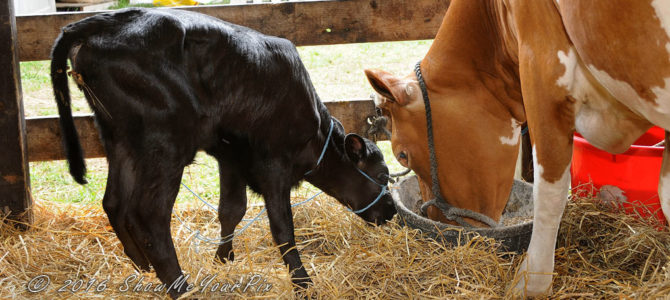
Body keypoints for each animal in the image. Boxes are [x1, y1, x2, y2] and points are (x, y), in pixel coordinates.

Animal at [53, 7, 400, 298]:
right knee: (150, 214)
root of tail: (104, 21)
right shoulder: (272, 162)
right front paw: (302, 283)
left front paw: (223, 259)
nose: (392, 212)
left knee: (114, 202)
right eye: (382, 175)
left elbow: (232, 210)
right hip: (164, 144)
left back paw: (144, 267)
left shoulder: (230, 156)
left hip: (119, 138)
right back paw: (180, 287)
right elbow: (282, 228)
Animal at [368, 0, 670, 296]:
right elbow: (665, 193)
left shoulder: (541, 67)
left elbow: (549, 194)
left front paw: (530, 282)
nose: (434, 219)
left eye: (402, 154)